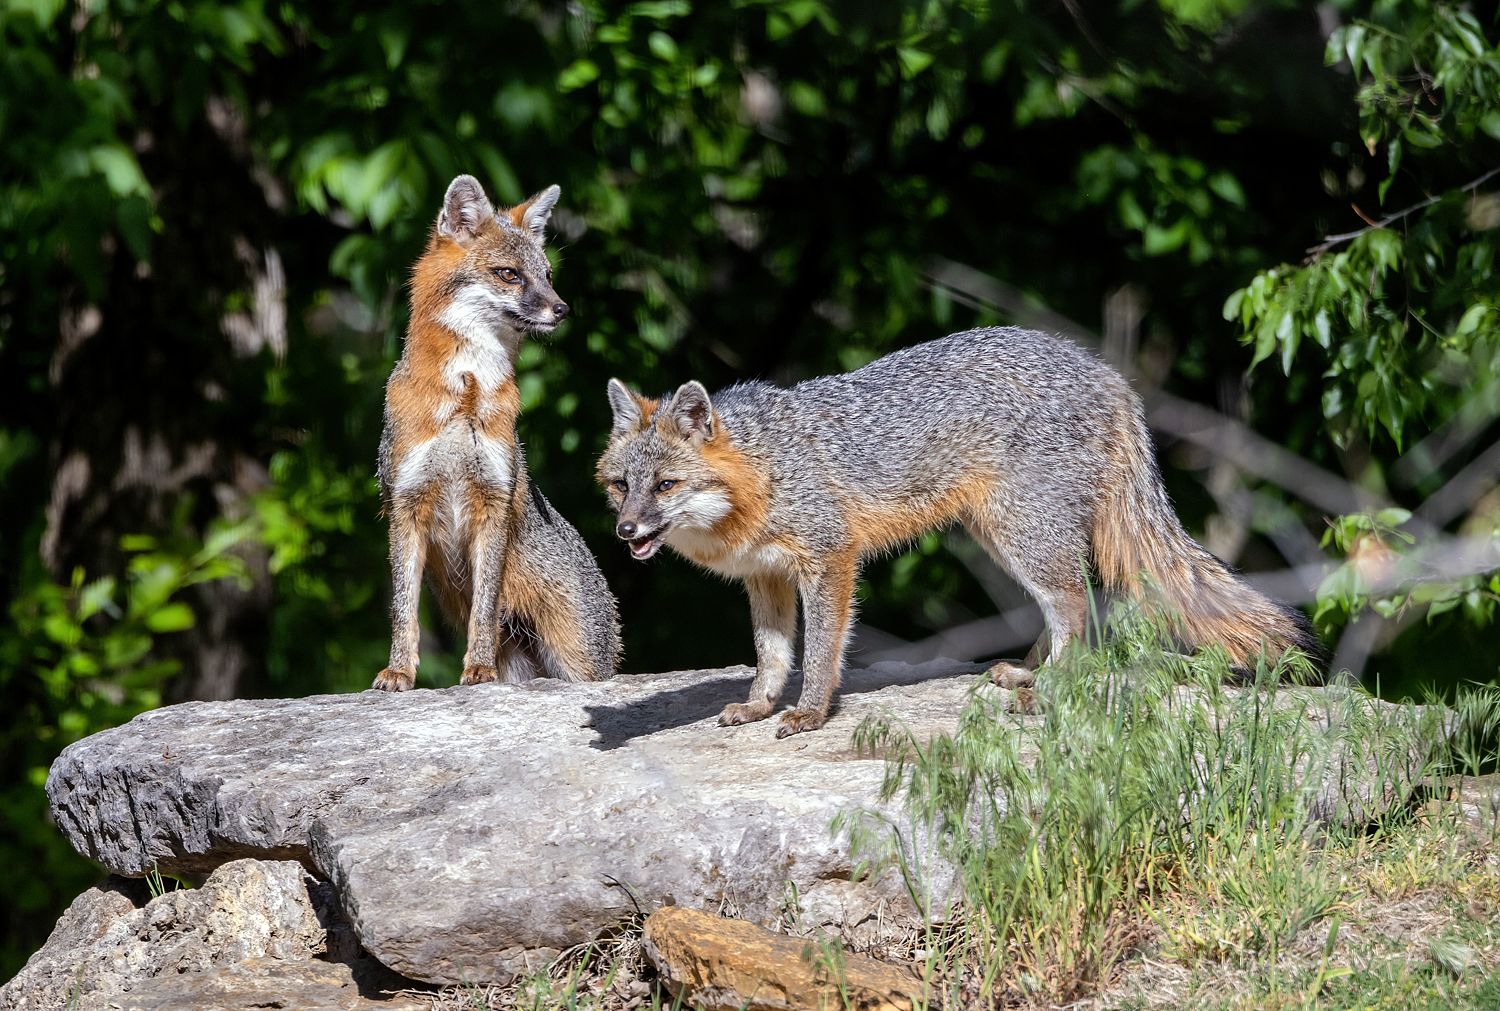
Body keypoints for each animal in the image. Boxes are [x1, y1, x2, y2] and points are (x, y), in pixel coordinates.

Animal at [373, 174, 620, 692]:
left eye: (547, 274)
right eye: (509, 274)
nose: (562, 309)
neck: (466, 391)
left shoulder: (495, 500)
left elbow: (484, 609)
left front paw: (478, 669)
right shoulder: (405, 505)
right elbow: (403, 610)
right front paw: (399, 671)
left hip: (578, 664)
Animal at [597, 326, 1318, 737]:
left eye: (666, 485)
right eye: (620, 486)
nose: (626, 531)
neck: (764, 468)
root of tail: (1107, 371)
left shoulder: (830, 558)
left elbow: (823, 652)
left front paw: (810, 712)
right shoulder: (766, 576)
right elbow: (772, 656)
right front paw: (759, 705)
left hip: (1023, 535)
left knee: (1077, 604)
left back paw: (1047, 687)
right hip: (1001, 536)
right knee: (1066, 606)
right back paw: (1026, 671)